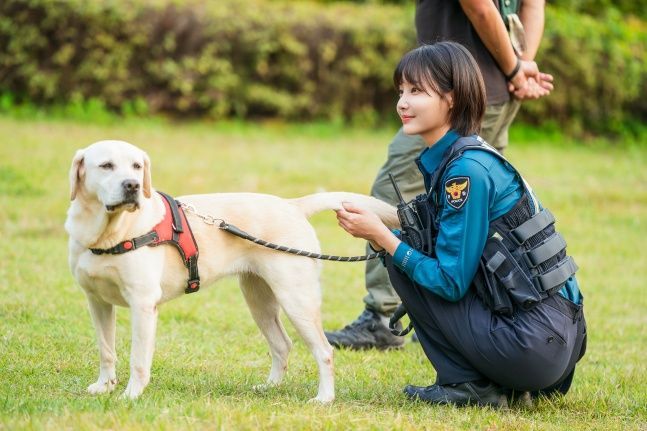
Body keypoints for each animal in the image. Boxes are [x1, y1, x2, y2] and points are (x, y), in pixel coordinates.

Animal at [66, 140, 400, 404]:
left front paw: (131, 395)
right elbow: (106, 350)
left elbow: (138, 359)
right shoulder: (96, 301)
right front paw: (104, 386)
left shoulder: (143, 304)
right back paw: (269, 387)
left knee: (324, 350)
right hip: (259, 299)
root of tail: (291, 205)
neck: (107, 235)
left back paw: (324, 398)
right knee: (283, 344)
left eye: (136, 166)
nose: (133, 186)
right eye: (106, 165)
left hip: (297, 300)